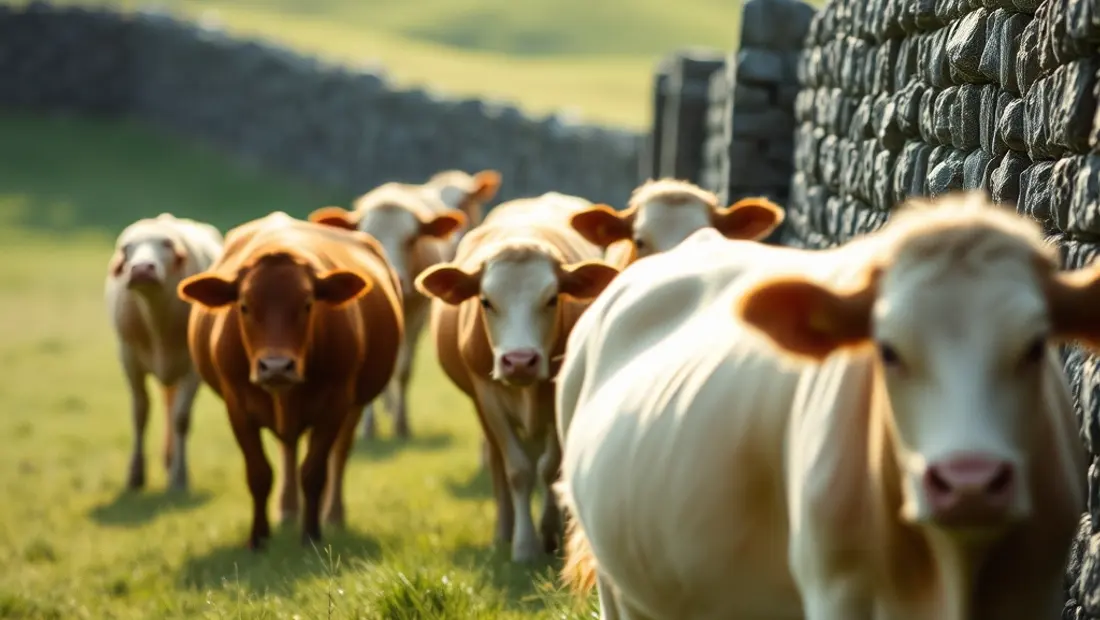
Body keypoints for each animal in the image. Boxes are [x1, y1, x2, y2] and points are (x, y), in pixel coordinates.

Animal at [105, 213, 224, 492]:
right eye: (127, 249)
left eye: (167, 244)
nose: (141, 269)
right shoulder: (129, 358)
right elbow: (140, 413)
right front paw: (135, 475)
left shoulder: (193, 368)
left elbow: (181, 418)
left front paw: (180, 477)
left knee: (173, 406)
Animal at [177, 212, 403, 548]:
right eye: (244, 306)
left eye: (308, 304)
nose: (276, 366)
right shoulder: (237, 407)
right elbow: (259, 474)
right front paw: (258, 537)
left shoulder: (335, 404)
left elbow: (314, 473)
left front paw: (311, 534)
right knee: (288, 448)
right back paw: (287, 510)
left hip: (355, 406)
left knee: (338, 455)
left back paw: (332, 515)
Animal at [308, 169, 501, 440]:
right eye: (368, 239)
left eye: (411, 239)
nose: (393, 277)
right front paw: (368, 427)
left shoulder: (418, 313)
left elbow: (403, 369)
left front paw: (401, 424)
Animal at [415, 192, 620, 563]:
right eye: (486, 301)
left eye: (552, 299)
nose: (520, 361)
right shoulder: (487, 395)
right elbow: (518, 470)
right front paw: (524, 546)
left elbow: (551, 467)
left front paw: (551, 531)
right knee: (499, 464)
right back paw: (504, 530)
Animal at [555, 191, 1088, 619]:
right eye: (887, 350)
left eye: (1035, 347)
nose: (969, 480)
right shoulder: (838, 592)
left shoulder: (1035, 590)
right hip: (618, 585)